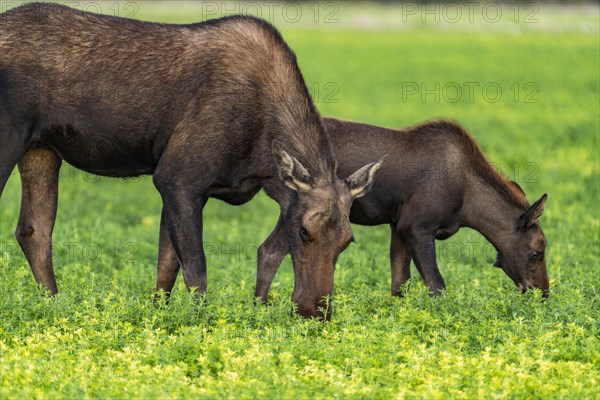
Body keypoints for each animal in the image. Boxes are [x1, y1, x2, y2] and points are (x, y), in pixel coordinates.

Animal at [0, 3, 384, 320]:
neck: (263, 165)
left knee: (33, 230)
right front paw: (199, 323)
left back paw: (55, 305)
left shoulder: (180, 184)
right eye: (304, 231)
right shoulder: (177, 177)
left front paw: (158, 318)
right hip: (11, 137)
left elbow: (166, 266)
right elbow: (195, 269)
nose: (316, 311)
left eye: (348, 240)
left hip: (41, 148)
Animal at [252, 118, 548, 300]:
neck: (468, 207)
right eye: (536, 252)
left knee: (268, 250)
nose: (543, 292)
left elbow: (399, 283)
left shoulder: (398, 224)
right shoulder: (416, 226)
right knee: (270, 250)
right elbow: (436, 284)